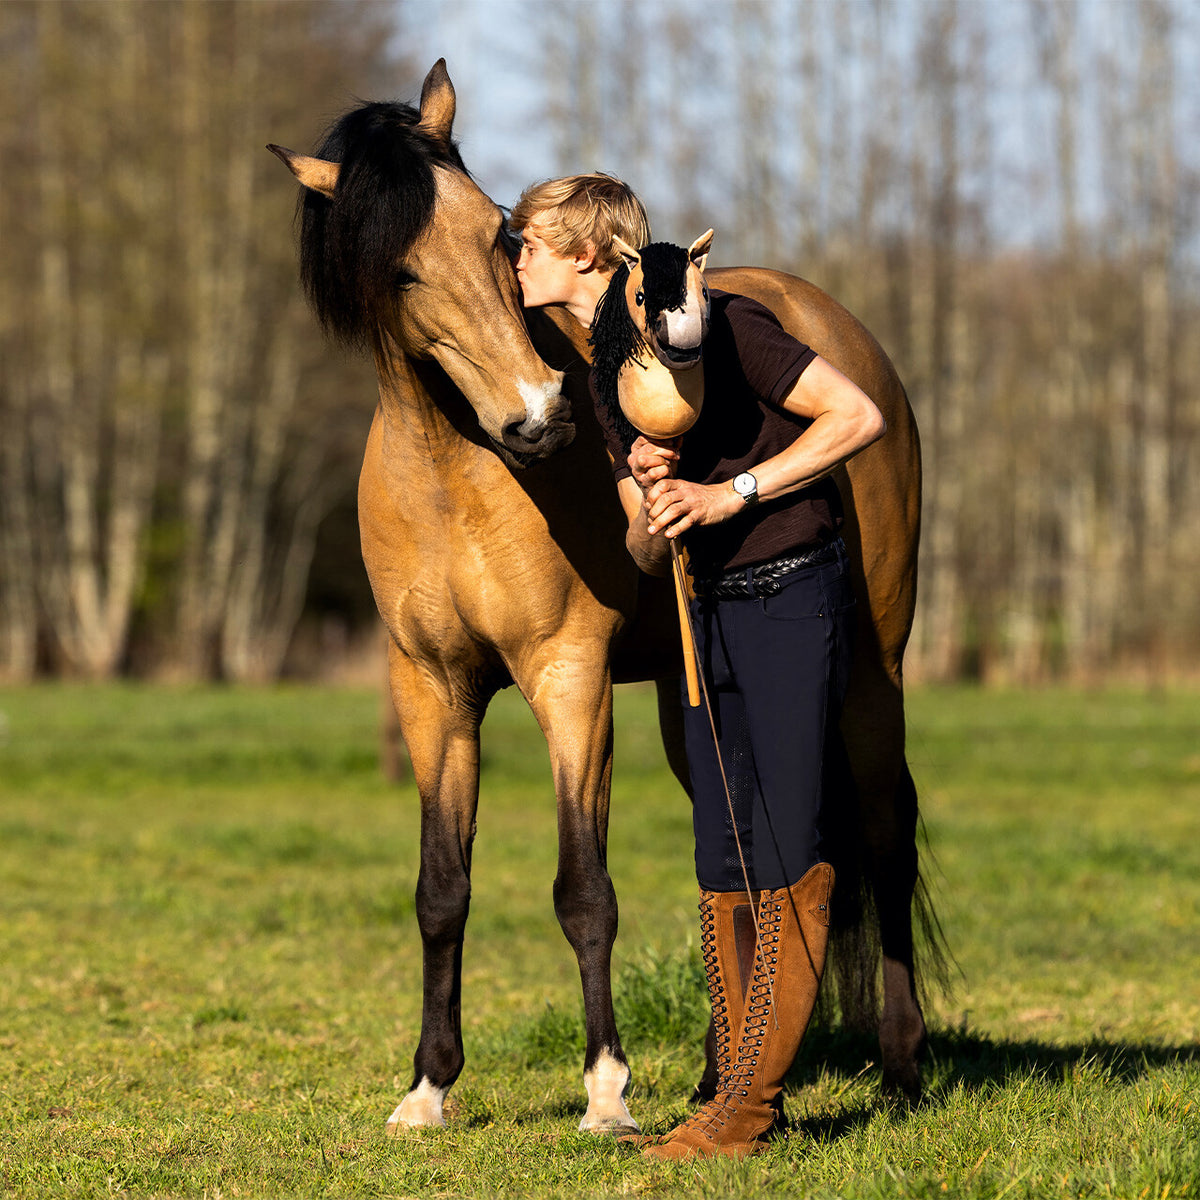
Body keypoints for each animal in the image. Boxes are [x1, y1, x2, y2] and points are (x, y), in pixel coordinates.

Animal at [269, 59, 933, 1135]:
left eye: (496, 236)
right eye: (401, 272)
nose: (538, 418)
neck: (454, 474)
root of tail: (829, 319)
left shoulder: (568, 680)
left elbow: (585, 888)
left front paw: (608, 1093)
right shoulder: (431, 692)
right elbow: (441, 888)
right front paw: (428, 1088)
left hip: (873, 674)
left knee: (886, 832)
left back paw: (904, 1063)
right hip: (691, 699)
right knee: (745, 854)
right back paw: (719, 1075)